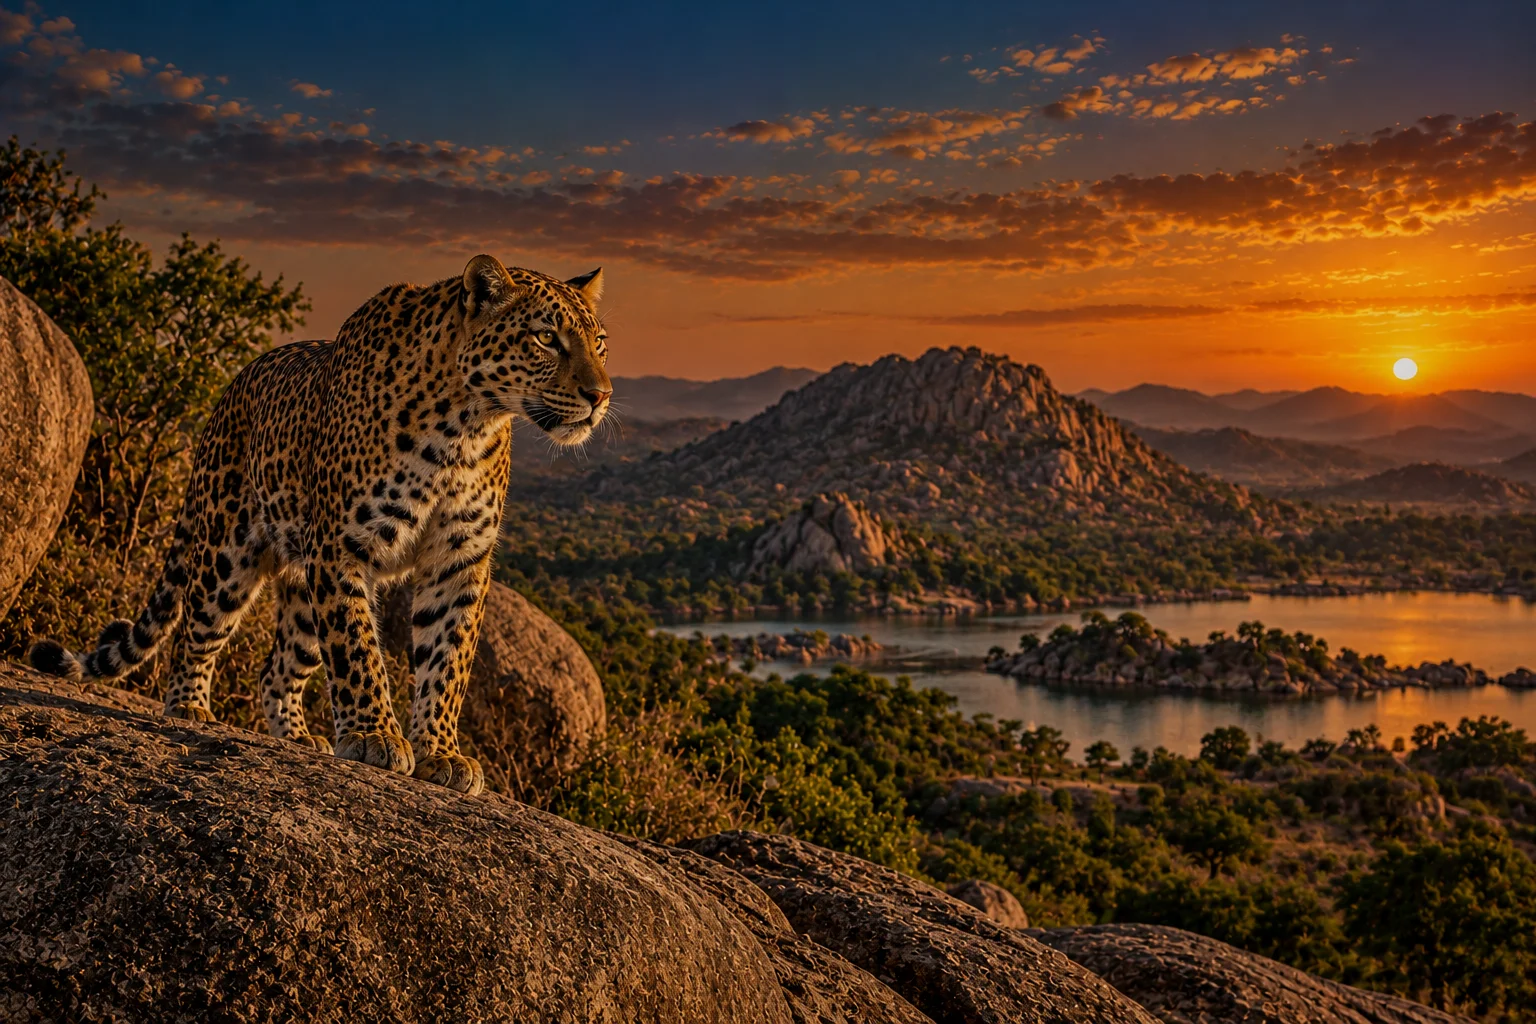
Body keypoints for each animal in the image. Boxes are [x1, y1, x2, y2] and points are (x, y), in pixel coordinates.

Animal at [28, 254, 612, 797]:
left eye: (600, 343)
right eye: (545, 338)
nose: (600, 396)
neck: (465, 428)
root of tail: (232, 388)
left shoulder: (459, 560)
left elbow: (448, 660)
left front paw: (441, 753)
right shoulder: (342, 546)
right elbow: (358, 650)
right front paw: (377, 737)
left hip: (303, 590)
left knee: (275, 669)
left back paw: (297, 736)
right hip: (227, 552)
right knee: (196, 627)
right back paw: (189, 707)